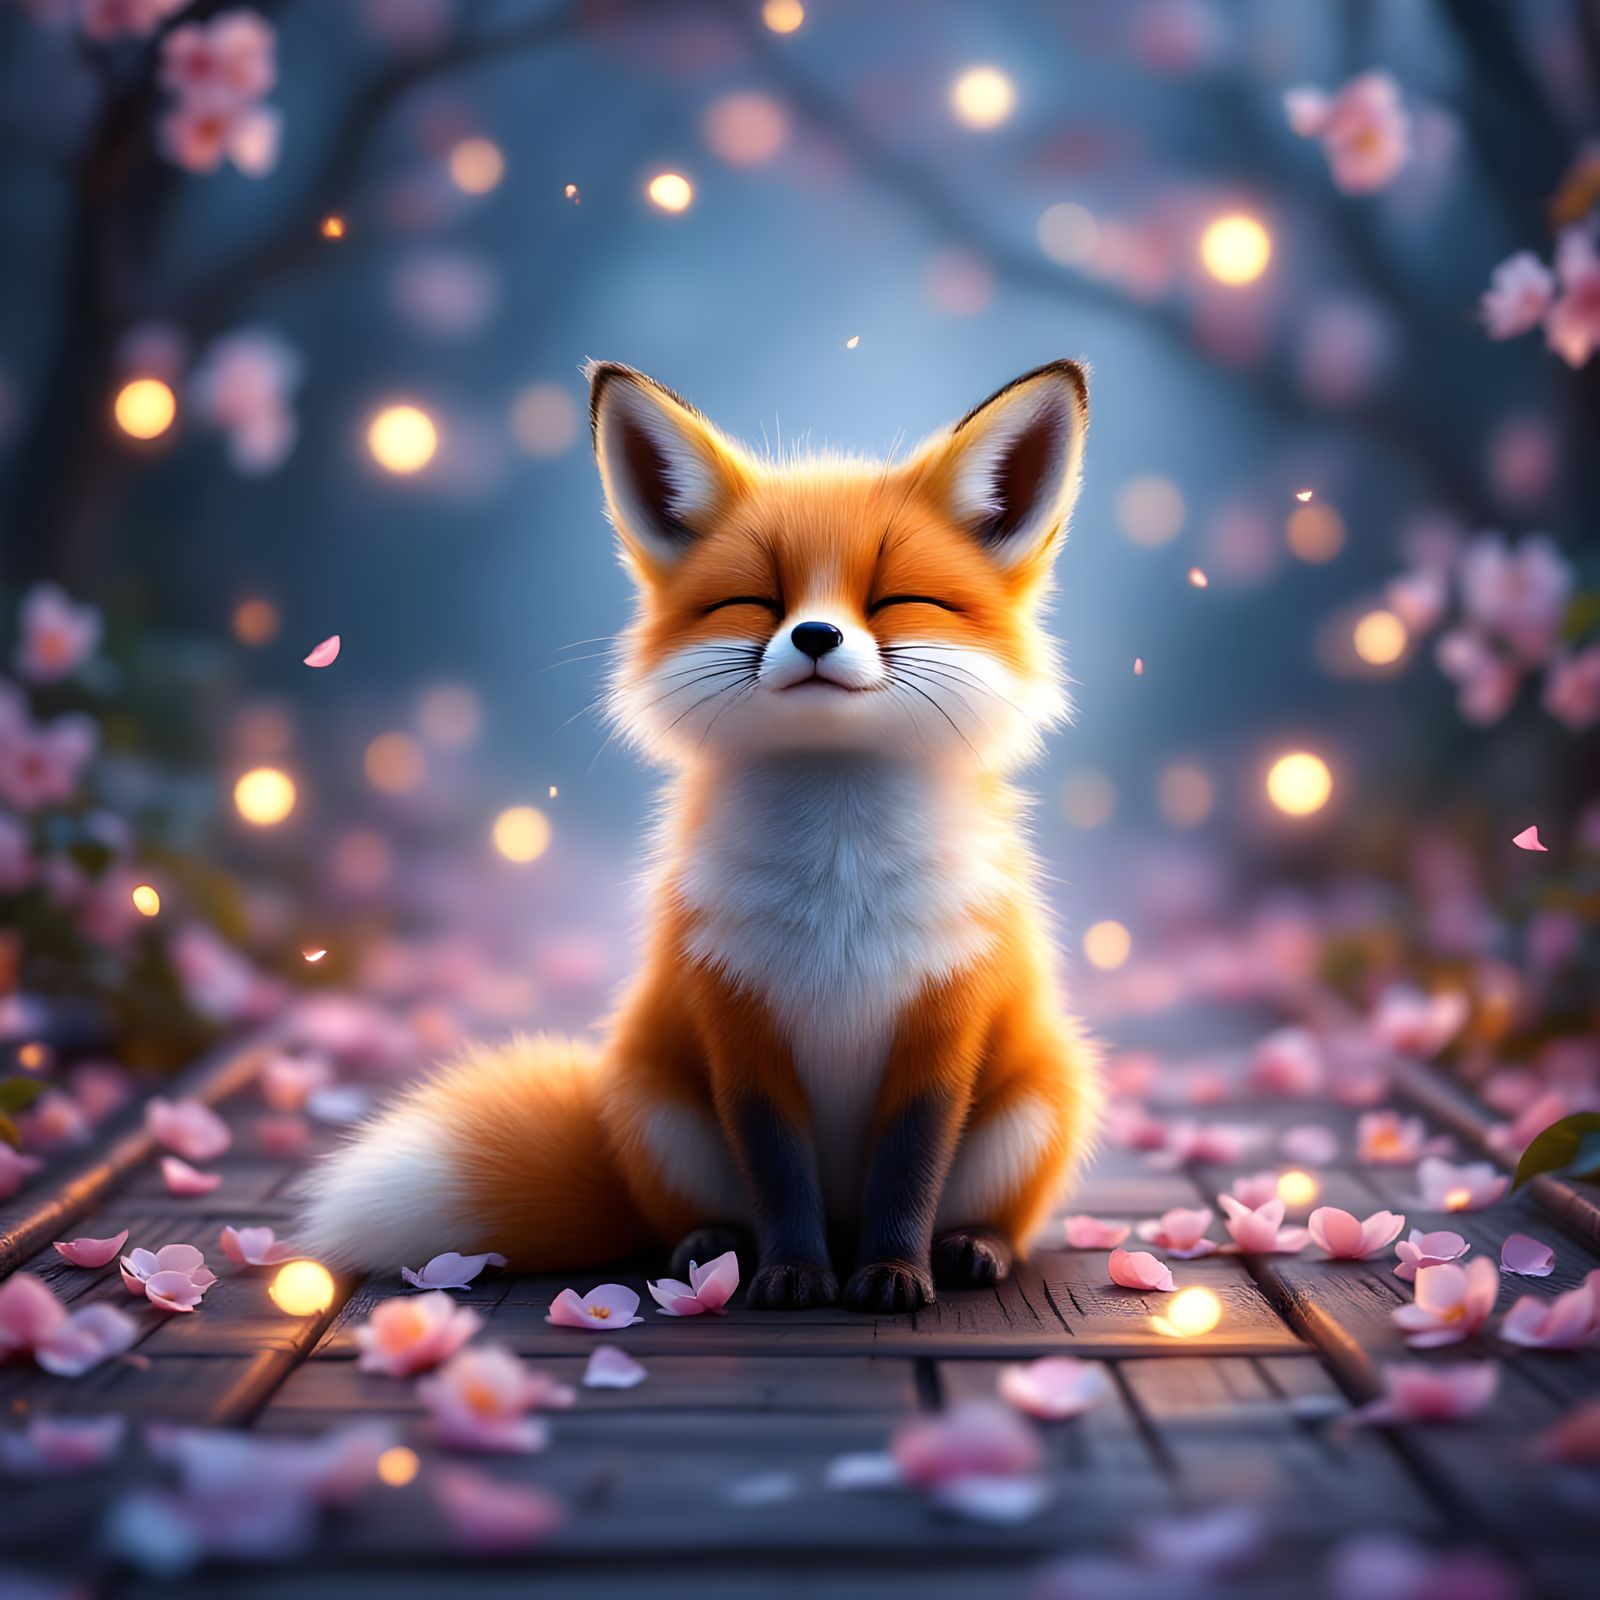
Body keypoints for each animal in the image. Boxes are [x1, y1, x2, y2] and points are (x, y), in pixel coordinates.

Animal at [297, 358, 1102, 1313]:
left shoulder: (945, 1020)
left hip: (1036, 1105)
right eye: (755, 601)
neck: (839, 884)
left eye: (895, 599)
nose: (816, 633)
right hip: (658, 1110)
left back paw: (975, 1246)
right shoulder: (736, 1017)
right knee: (690, 1218)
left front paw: (895, 1273)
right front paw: (795, 1276)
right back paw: (712, 1251)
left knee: (991, 1214)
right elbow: (777, 1171)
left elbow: (910, 1171)